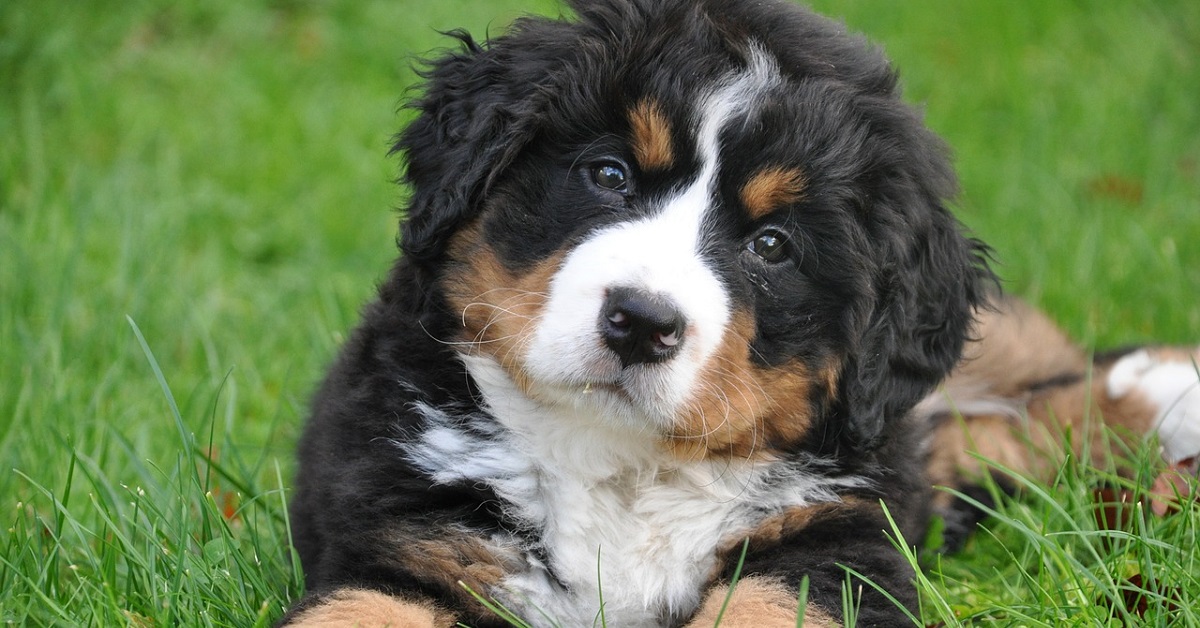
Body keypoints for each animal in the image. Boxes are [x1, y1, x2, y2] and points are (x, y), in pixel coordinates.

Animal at [283, 0, 1200, 624]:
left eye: (772, 245)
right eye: (609, 175)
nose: (642, 322)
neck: (622, 466)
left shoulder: (838, 543)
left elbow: (764, 602)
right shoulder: (409, 537)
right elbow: (357, 609)